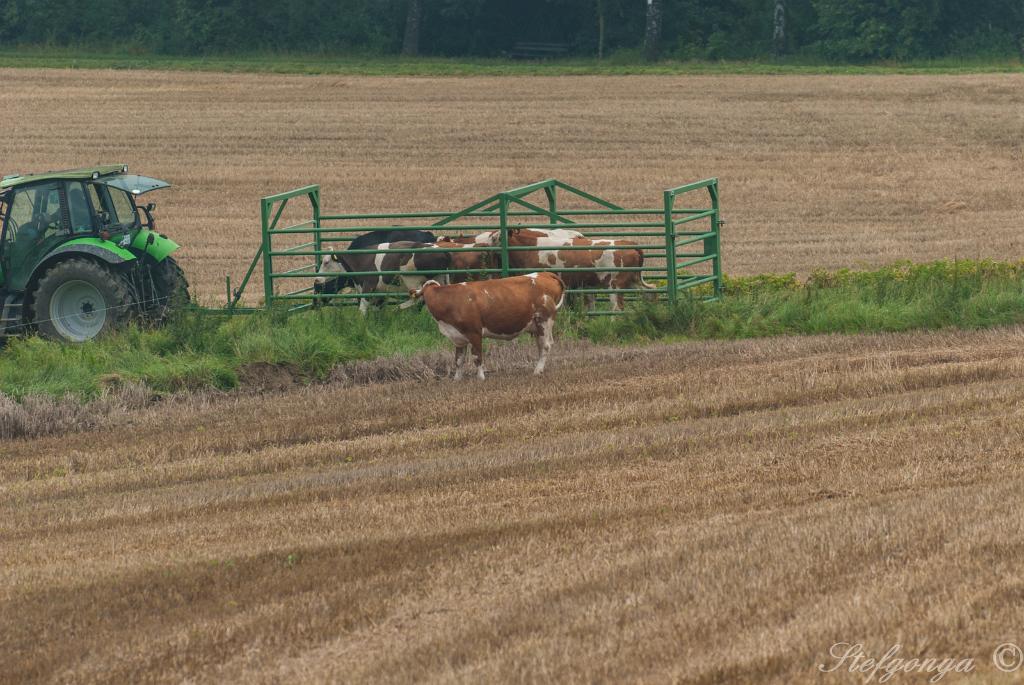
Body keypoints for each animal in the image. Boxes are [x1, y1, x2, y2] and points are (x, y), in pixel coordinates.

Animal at [313, 240, 450, 313]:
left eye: (326, 262)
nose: (317, 278)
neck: (361, 260)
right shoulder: (380, 294)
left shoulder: (368, 287)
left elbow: (362, 308)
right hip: (439, 279)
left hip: (411, 280)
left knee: (418, 298)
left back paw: (398, 309)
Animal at [409, 270, 569, 378]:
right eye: (423, 294)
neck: (451, 300)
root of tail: (545, 274)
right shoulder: (458, 338)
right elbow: (458, 360)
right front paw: (457, 379)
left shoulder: (474, 332)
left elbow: (477, 357)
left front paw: (481, 378)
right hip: (537, 325)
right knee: (542, 346)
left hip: (544, 321)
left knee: (545, 346)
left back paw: (537, 371)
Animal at [473, 225, 655, 309]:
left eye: (495, 237)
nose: (484, 245)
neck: (532, 248)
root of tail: (631, 244)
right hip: (633, 281)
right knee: (648, 295)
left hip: (615, 285)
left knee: (617, 307)